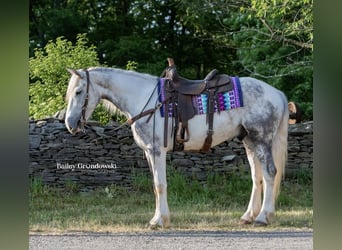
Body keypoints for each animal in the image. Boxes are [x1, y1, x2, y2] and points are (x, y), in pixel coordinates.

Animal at [64, 65, 288, 228]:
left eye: (78, 92)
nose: (70, 124)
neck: (144, 99)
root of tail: (276, 93)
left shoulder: (156, 150)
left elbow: (160, 185)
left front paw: (159, 221)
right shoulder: (149, 152)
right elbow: (155, 186)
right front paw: (158, 218)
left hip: (262, 140)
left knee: (270, 173)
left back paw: (263, 217)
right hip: (250, 142)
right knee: (257, 177)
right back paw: (248, 216)